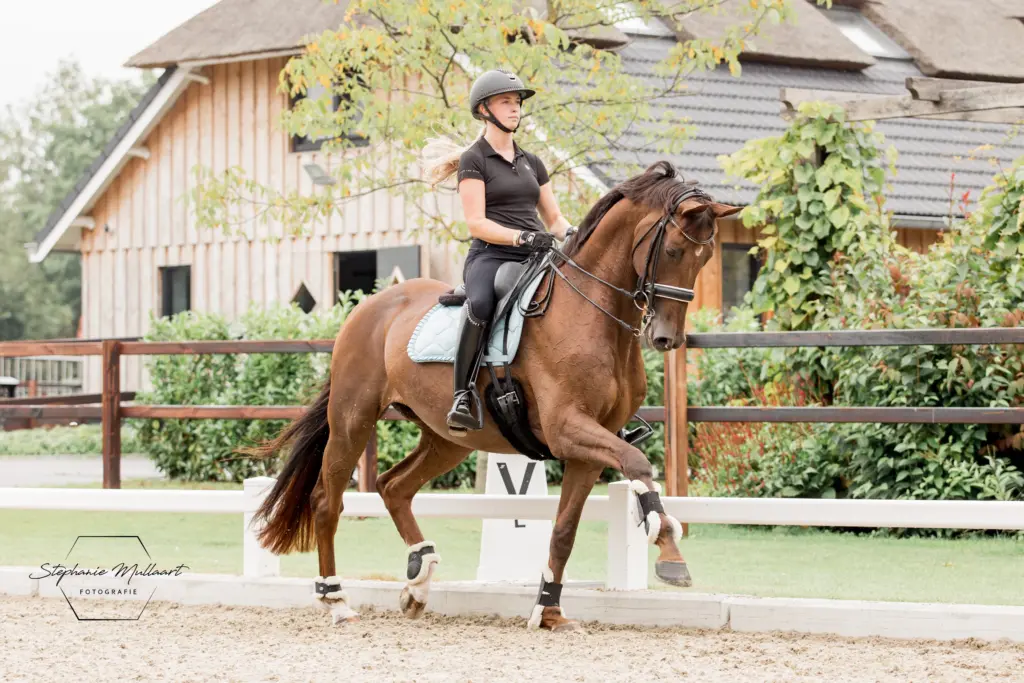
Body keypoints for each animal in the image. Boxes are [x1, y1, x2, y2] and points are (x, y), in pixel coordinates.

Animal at [251, 160, 741, 630]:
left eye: (706, 258)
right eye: (674, 251)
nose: (666, 339)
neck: (592, 314)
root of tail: (367, 308)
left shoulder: (586, 446)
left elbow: (565, 528)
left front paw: (548, 611)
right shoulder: (567, 428)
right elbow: (638, 463)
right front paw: (669, 549)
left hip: (448, 438)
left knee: (393, 486)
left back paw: (419, 579)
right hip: (354, 420)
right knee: (326, 500)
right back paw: (337, 601)